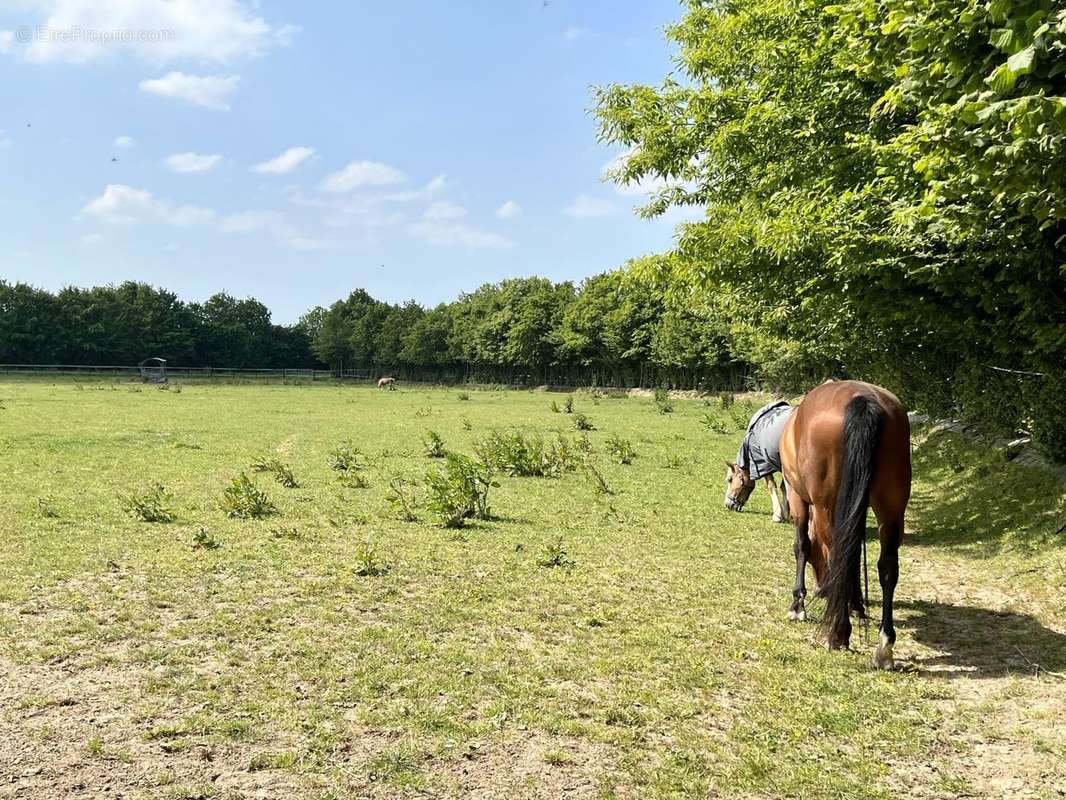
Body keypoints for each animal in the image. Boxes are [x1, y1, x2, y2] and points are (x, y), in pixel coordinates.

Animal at [780, 381, 912, 669]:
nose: (820, 589)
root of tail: (863, 400)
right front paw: (856, 604)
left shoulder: (797, 498)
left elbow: (802, 546)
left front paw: (798, 604)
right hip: (892, 511)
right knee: (887, 567)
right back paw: (884, 645)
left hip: (826, 506)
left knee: (838, 552)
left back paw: (839, 632)